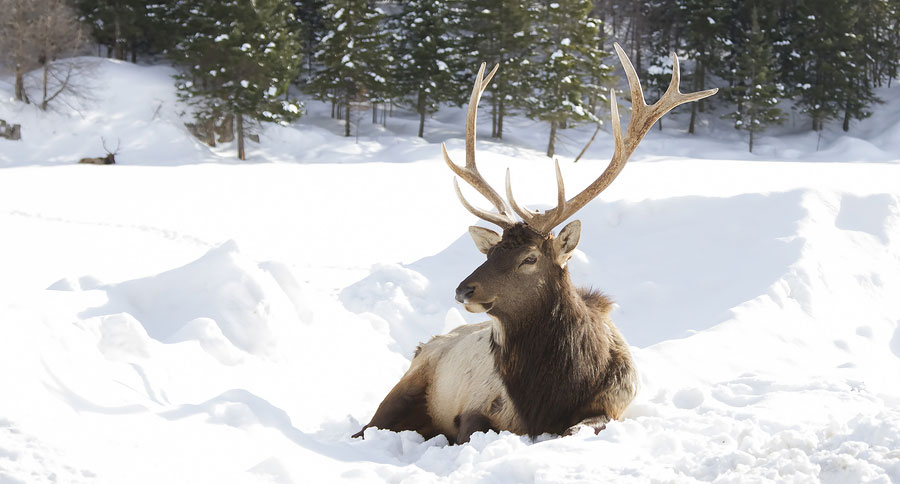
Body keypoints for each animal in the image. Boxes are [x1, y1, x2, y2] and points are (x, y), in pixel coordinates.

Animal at [356, 43, 712, 444]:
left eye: (529, 258)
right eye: (491, 252)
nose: (463, 290)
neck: (551, 393)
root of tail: (423, 344)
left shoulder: (615, 403)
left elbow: (577, 428)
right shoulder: (478, 406)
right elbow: (473, 430)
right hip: (408, 384)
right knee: (367, 427)